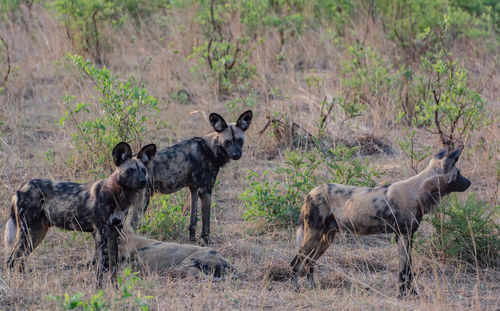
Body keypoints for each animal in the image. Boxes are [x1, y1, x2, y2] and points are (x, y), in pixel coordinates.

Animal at [3, 143, 156, 288]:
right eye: (130, 171)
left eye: (143, 170)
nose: (143, 181)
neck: (116, 195)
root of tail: (22, 187)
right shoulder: (100, 234)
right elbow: (100, 268)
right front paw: (99, 290)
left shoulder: (114, 233)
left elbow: (113, 267)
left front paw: (116, 290)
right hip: (27, 232)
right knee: (11, 261)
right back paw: (12, 284)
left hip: (36, 234)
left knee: (21, 260)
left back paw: (24, 281)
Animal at [128, 111, 254, 245]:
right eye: (227, 141)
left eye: (240, 140)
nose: (236, 155)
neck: (211, 149)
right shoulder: (205, 191)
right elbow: (206, 223)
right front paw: (207, 241)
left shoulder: (193, 189)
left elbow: (193, 221)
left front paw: (192, 239)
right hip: (143, 202)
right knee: (129, 228)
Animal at [292, 146, 470, 298]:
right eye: (459, 173)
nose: (469, 182)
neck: (418, 190)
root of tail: (310, 193)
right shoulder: (403, 236)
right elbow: (404, 271)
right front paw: (402, 296)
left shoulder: (406, 236)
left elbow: (408, 270)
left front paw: (411, 294)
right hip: (313, 236)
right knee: (296, 263)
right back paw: (297, 289)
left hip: (326, 238)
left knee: (309, 263)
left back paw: (313, 287)